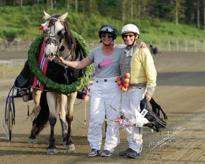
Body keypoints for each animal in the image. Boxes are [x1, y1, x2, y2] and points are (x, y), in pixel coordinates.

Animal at [27, 11, 86, 154]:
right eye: (44, 29)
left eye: (61, 31)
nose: (49, 53)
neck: (64, 65)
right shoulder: (51, 89)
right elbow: (52, 118)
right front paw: (52, 145)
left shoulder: (72, 91)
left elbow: (69, 116)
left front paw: (69, 142)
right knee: (40, 110)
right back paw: (33, 135)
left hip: (63, 92)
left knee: (63, 114)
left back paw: (65, 137)